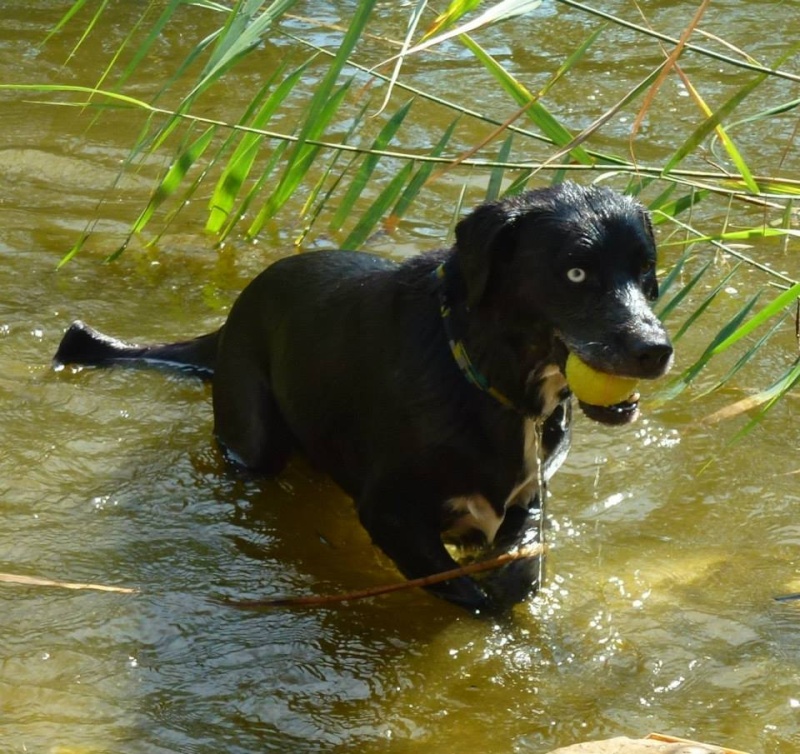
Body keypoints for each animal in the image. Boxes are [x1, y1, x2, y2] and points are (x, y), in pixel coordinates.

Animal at [53, 181, 672, 612]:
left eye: (646, 271)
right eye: (575, 273)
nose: (656, 349)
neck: (480, 377)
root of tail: (233, 314)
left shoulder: (527, 494)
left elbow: (522, 556)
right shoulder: (389, 512)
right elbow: (471, 598)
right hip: (254, 436)